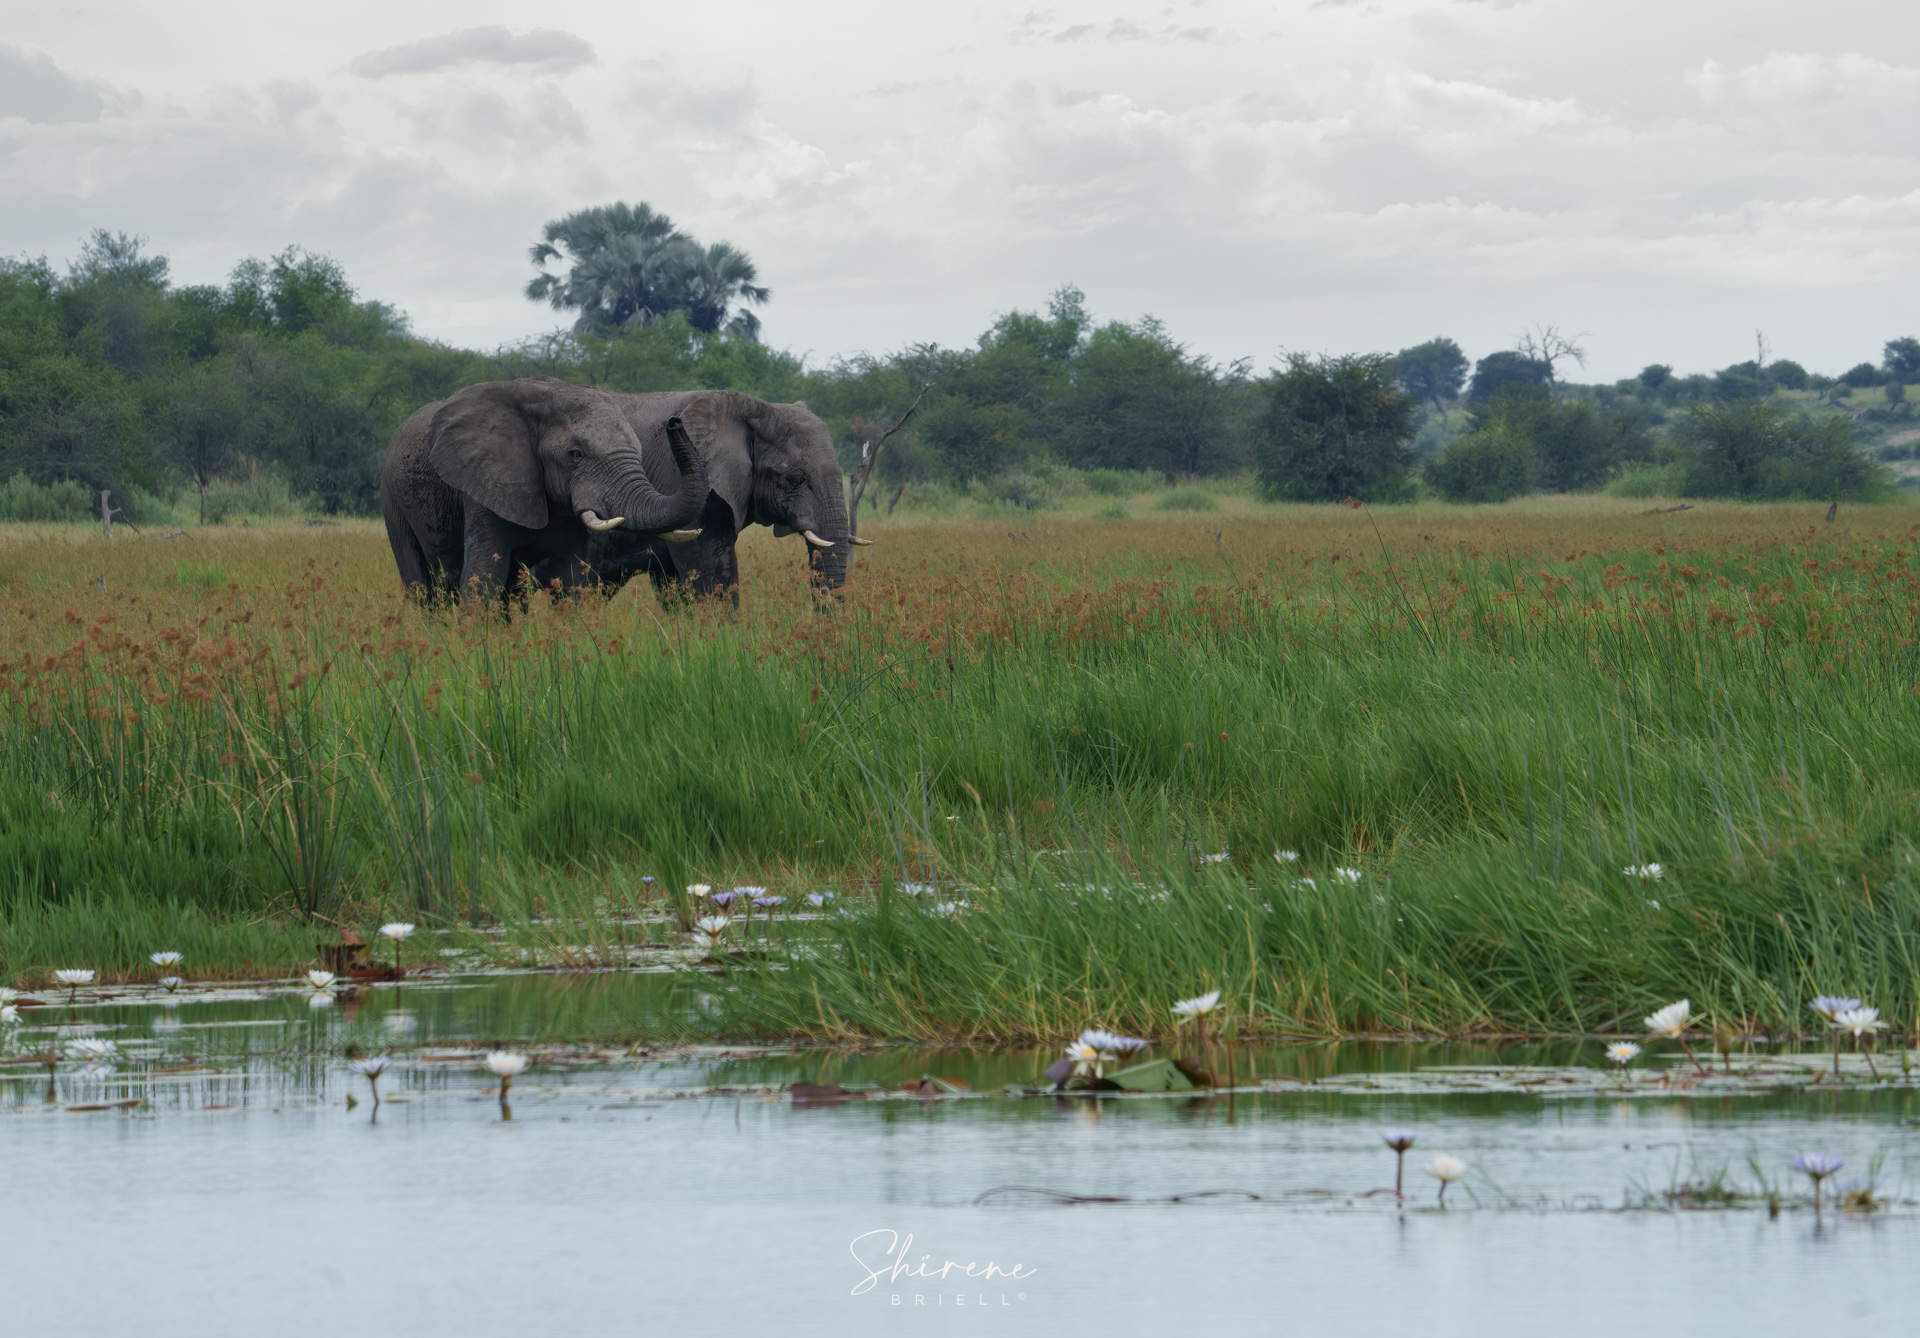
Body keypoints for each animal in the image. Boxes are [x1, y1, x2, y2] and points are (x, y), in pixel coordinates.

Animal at [380, 377, 708, 607]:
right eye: (575, 454)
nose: (674, 421)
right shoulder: (484, 486)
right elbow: (482, 579)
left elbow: (569, 580)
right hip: (391, 498)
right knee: (420, 584)